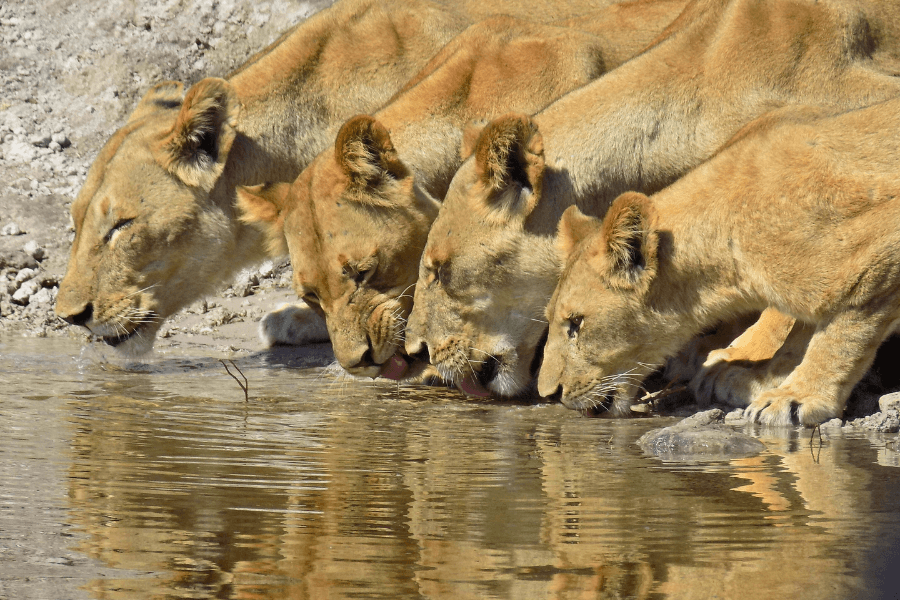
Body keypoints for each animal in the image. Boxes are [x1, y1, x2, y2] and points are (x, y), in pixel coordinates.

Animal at [537, 98, 900, 426]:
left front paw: (797, 397)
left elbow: (840, 337)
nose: (548, 394)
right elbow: (799, 334)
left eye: (576, 323)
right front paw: (760, 378)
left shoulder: (876, 251)